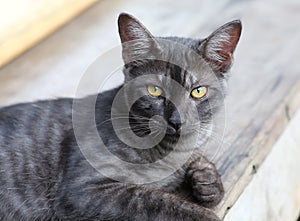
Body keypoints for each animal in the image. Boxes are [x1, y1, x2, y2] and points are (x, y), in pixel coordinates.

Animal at [0, 13, 241, 221]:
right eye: (155, 90)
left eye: (198, 91)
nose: (176, 120)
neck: (170, 153)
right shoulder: (84, 190)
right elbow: (153, 200)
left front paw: (207, 179)